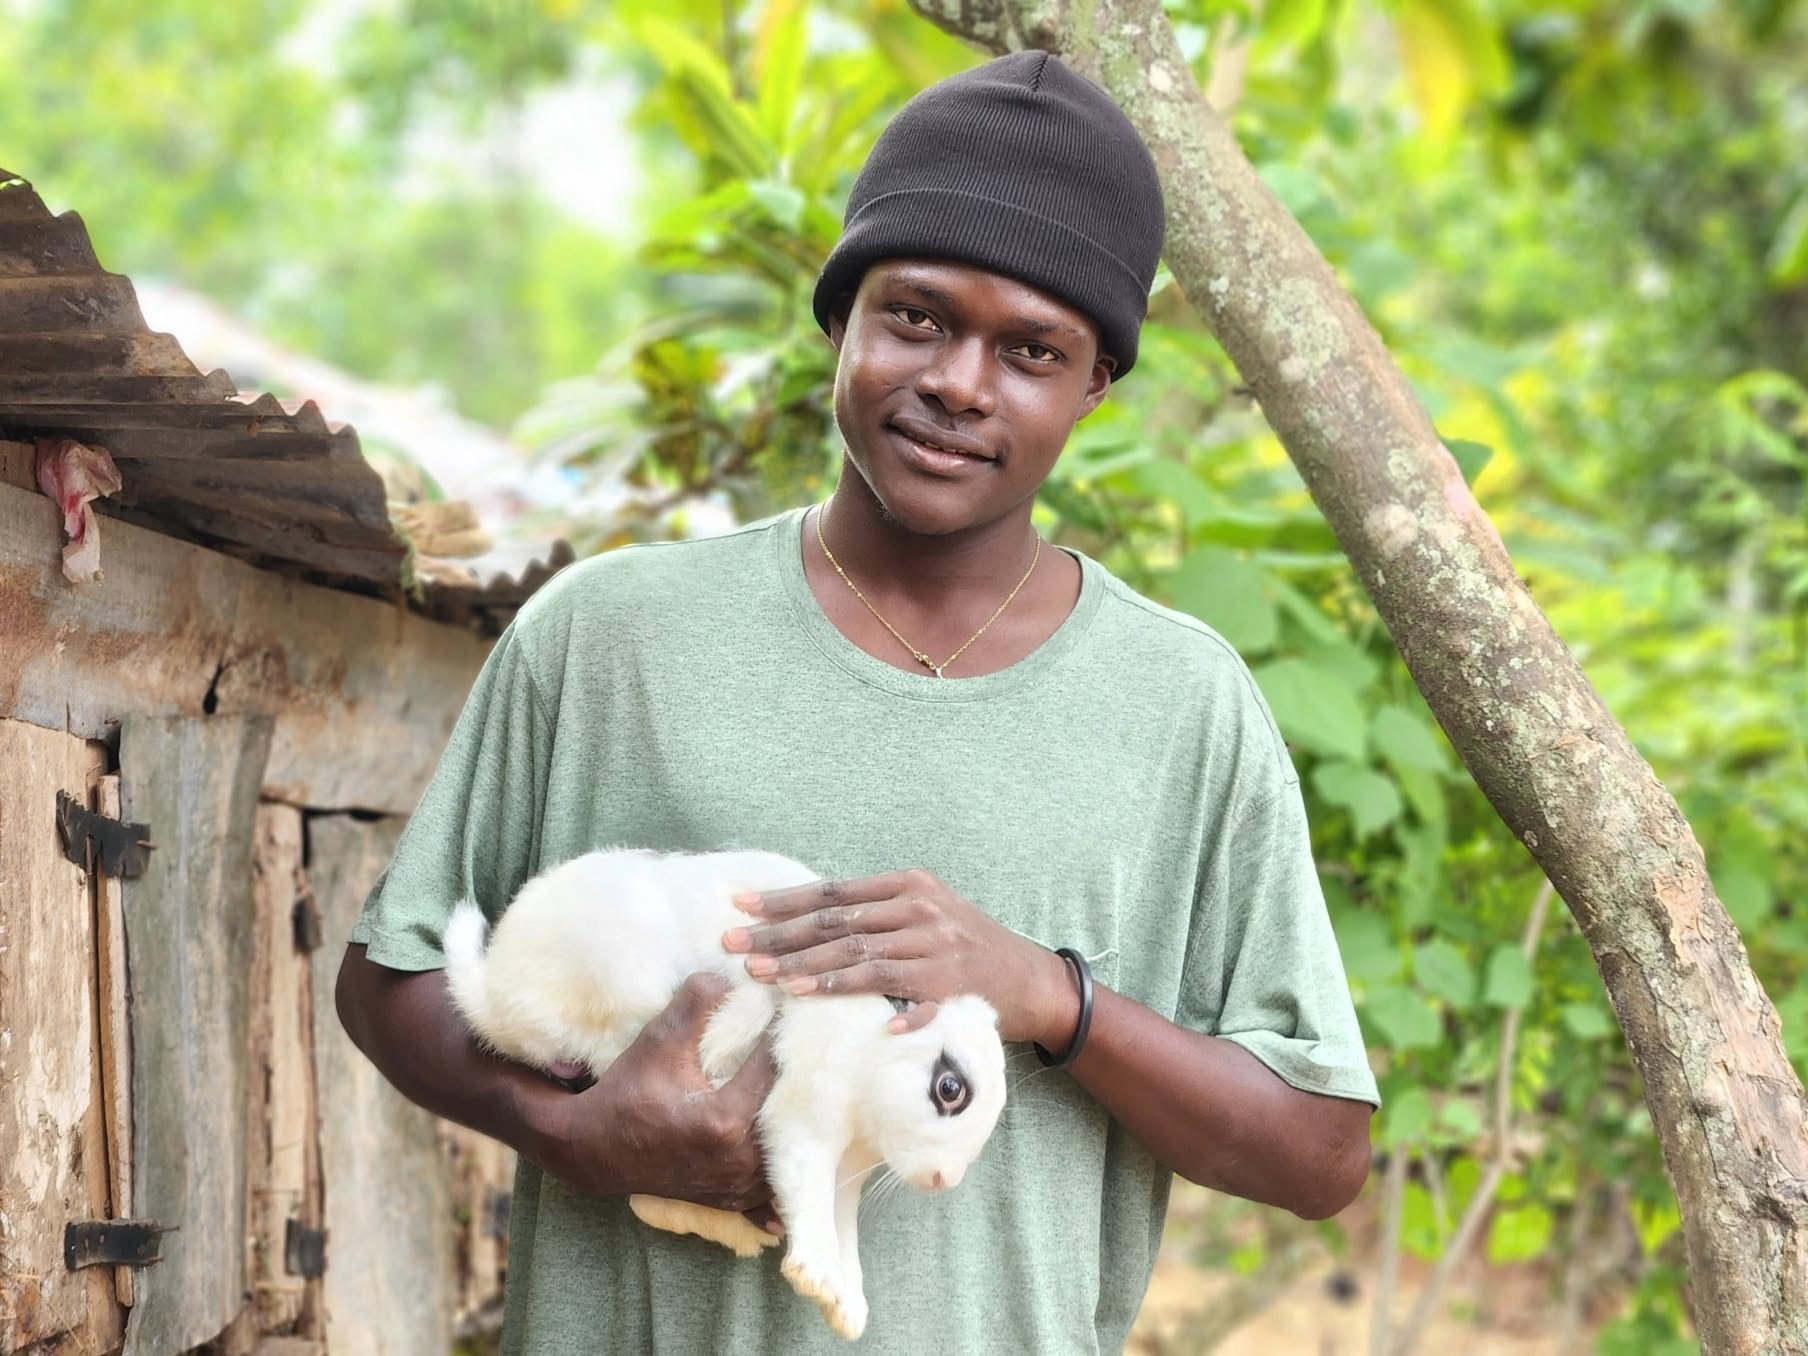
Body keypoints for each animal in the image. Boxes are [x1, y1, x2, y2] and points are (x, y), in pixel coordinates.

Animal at [440, 847, 1008, 1341]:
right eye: (950, 1088)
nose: (943, 1180)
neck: (874, 1039)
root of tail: (490, 995)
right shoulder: (803, 1119)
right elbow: (810, 1197)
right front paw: (817, 1278)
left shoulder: (847, 1171)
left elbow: (842, 1224)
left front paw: (847, 1308)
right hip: (623, 995)